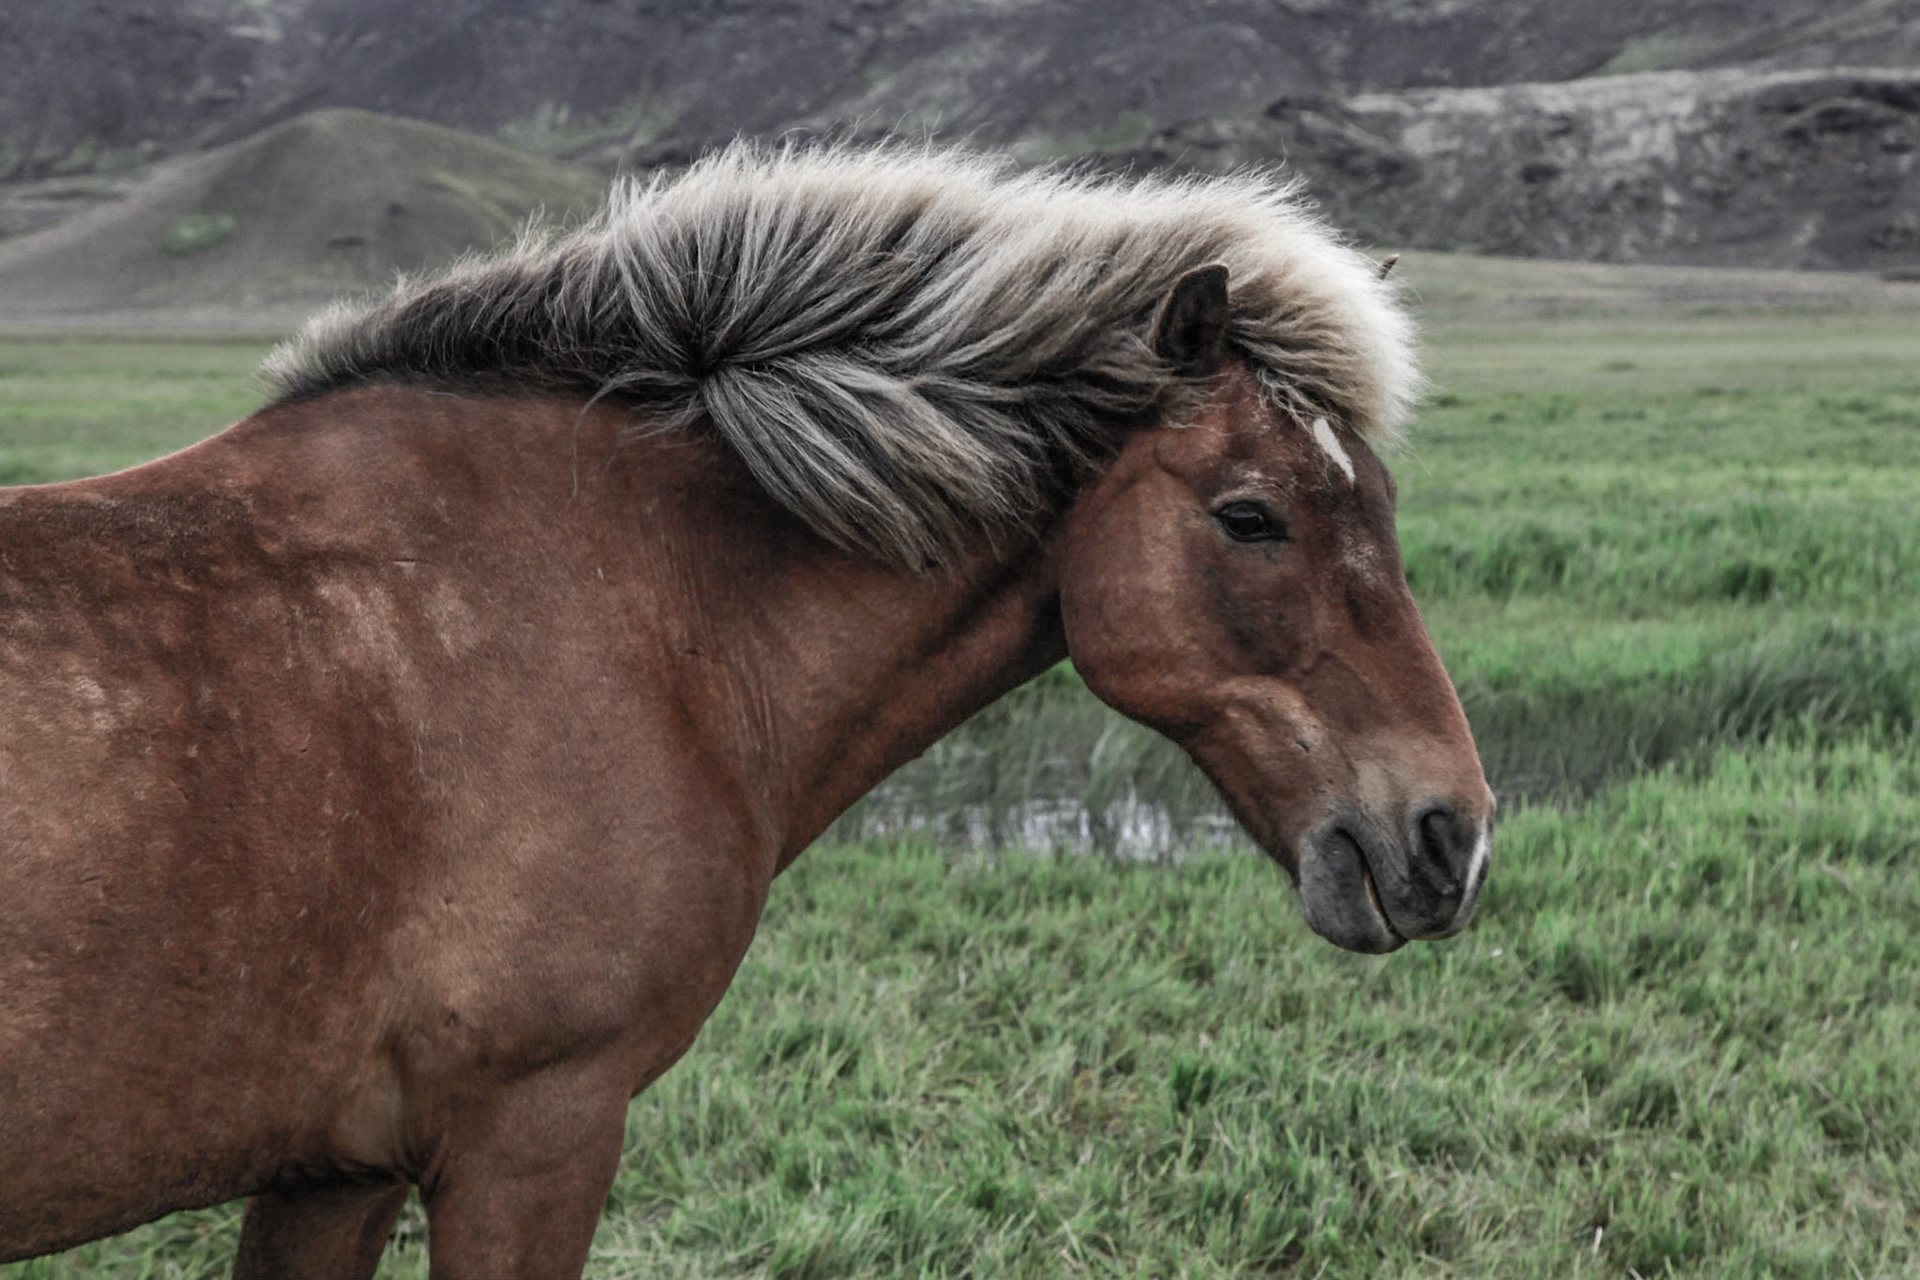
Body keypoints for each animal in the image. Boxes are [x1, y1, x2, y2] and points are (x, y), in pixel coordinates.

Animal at [0, 143, 1492, 1278]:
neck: (644, 614)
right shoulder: (533, 1135)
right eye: (1251, 518)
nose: (1452, 837)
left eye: (1385, 504)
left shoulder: (329, 1170)